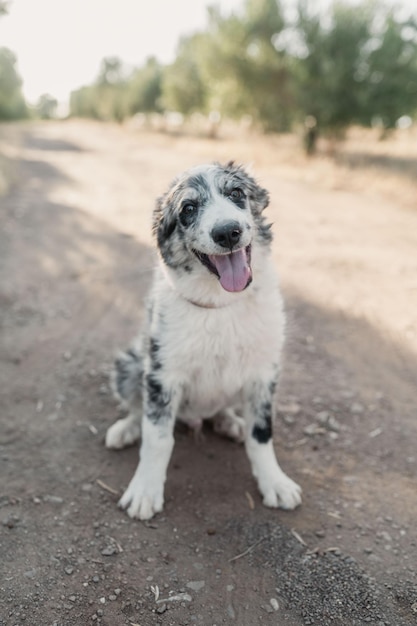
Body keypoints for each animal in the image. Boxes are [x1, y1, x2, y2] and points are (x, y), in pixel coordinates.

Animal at [103, 160, 300, 516]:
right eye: (188, 209)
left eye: (236, 193)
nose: (227, 232)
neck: (220, 304)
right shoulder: (162, 375)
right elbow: (157, 437)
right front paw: (144, 490)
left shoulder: (265, 373)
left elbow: (261, 433)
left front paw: (275, 483)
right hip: (131, 364)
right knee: (138, 408)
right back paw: (125, 429)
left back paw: (230, 422)